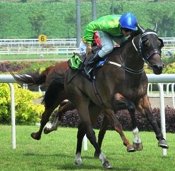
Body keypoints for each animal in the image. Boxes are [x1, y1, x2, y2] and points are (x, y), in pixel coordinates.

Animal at [64, 28, 168, 168]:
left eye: (160, 43)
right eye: (146, 43)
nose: (159, 66)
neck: (127, 70)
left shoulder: (141, 98)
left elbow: (151, 116)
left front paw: (162, 140)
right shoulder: (112, 100)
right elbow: (129, 108)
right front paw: (136, 141)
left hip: (95, 106)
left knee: (82, 129)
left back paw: (79, 158)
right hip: (85, 102)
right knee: (94, 130)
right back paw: (107, 157)